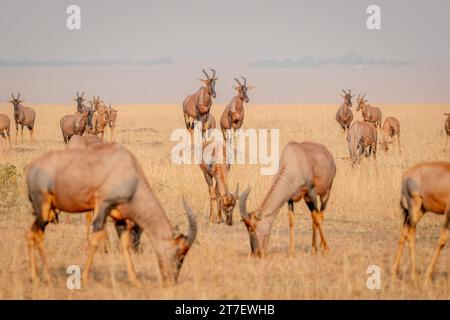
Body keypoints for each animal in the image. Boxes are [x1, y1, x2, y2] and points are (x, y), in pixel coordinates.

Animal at [25, 143, 196, 288]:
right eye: (180, 253)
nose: (171, 281)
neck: (128, 169)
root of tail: (31, 166)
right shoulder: (103, 205)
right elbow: (95, 239)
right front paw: (84, 278)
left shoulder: (120, 218)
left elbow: (125, 245)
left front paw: (135, 281)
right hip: (43, 207)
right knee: (37, 234)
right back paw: (46, 278)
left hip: (47, 211)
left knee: (31, 233)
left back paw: (36, 278)